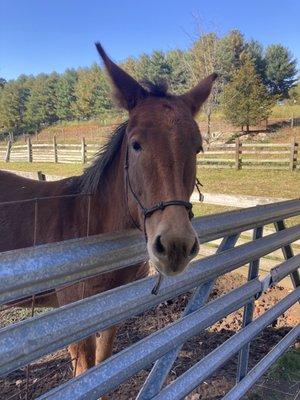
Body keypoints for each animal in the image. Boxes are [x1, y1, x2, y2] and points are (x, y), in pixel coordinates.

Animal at [0, 44, 216, 378]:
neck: (88, 220)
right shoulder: (73, 322)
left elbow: (103, 366)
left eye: (197, 148)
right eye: (136, 144)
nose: (176, 246)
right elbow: (84, 373)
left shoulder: (112, 312)